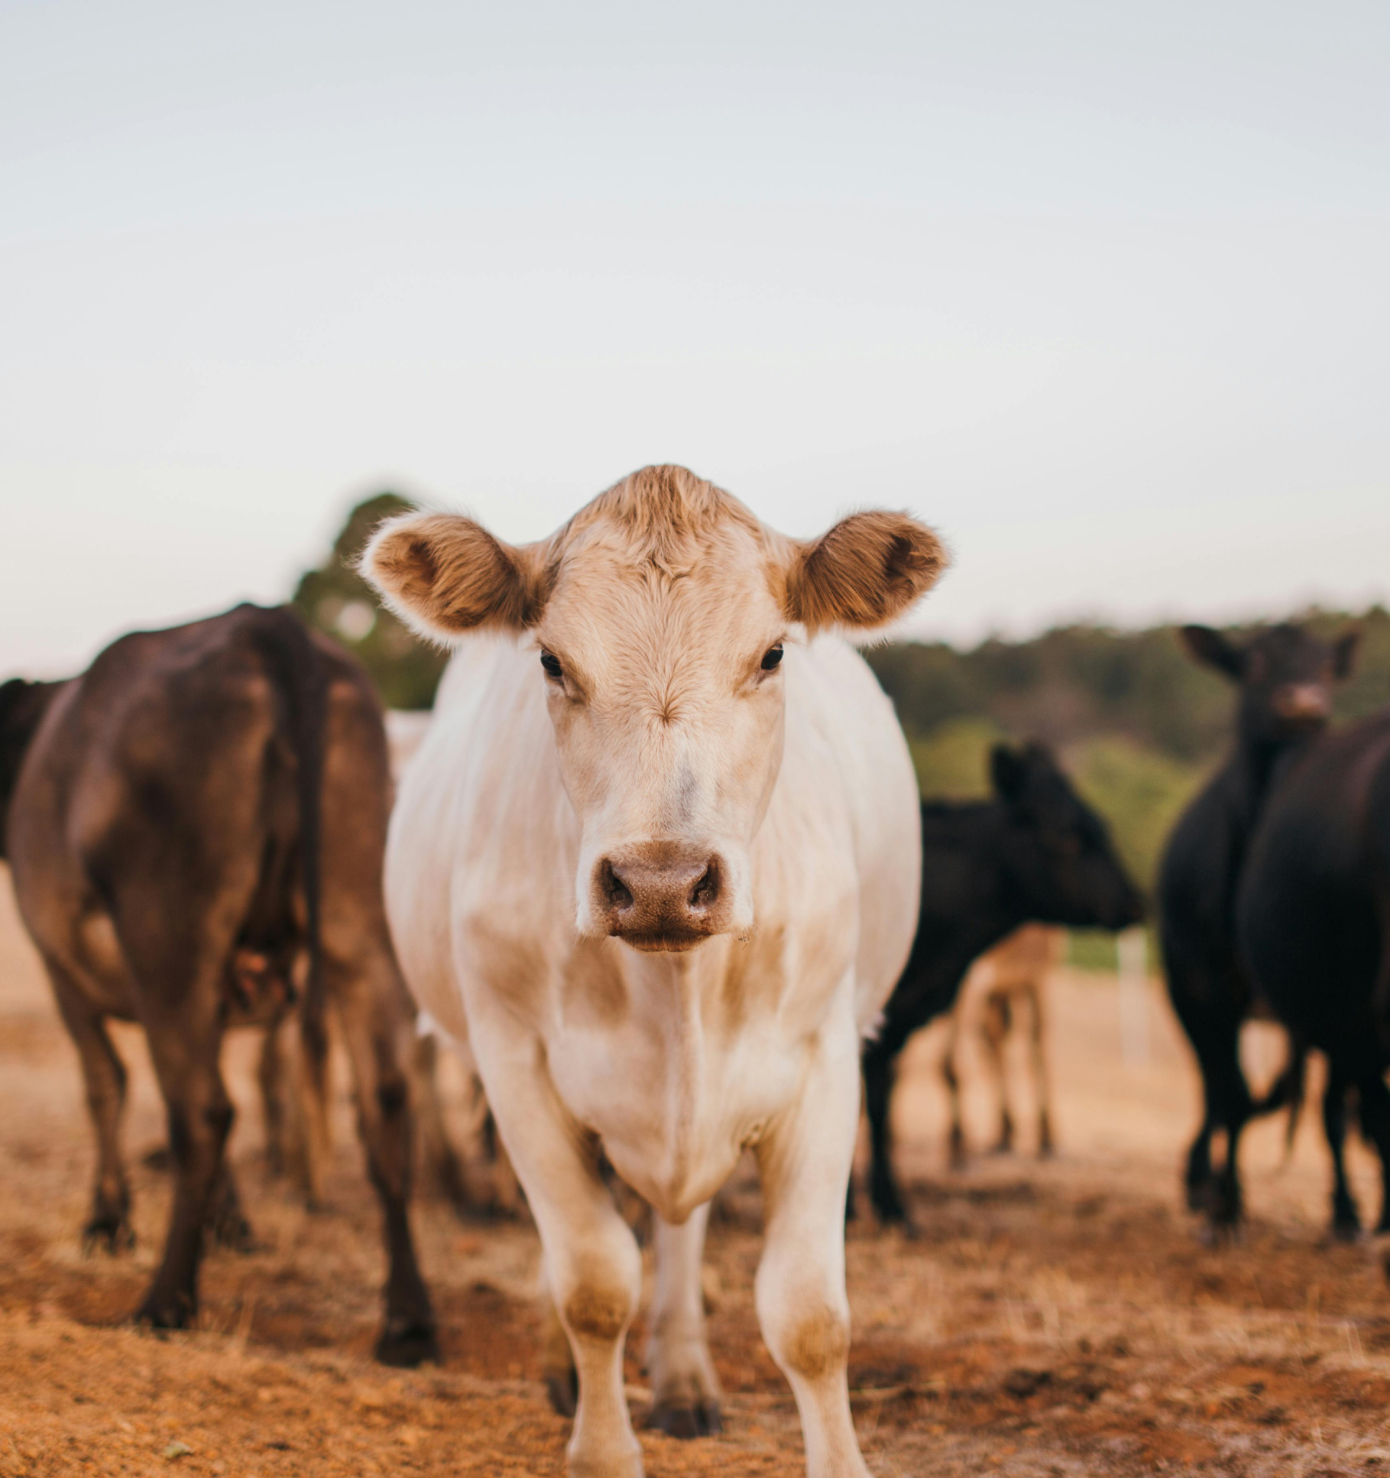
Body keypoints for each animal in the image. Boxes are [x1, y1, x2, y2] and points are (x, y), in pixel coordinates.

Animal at [0, 600, 434, 1359]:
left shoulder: (59, 965)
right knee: (383, 1101)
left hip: (171, 935)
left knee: (201, 1110)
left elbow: (105, 1083)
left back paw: (166, 1300)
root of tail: (262, 624)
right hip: (359, 920)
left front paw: (108, 1222)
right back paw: (408, 1321)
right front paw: (231, 1221)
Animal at [363, 464, 946, 1478]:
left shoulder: (824, 1058)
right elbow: (593, 1280)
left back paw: (682, 1375)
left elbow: (810, 1314)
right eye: (552, 662)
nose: (661, 884)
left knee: (681, 1227)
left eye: (772, 654)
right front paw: (600, 1443)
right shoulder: (513, 1062)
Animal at [857, 739, 1141, 1223]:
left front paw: (888, 1205)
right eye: (1065, 834)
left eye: (1101, 825)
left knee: (1030, 1045)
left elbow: (878, 1096)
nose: (1136, 900)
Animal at [1153, 617, 1354, 1229]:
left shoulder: (1327, 994)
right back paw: (1203, 1179)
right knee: (1214, 1084)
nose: (1304, 702)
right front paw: (1226, 1205)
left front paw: (1345, 1212)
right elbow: (1233, 1094)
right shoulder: (1208, 983)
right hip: (1186, 989)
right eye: (1255, 663)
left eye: (1326, 666)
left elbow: (1329, 1107)